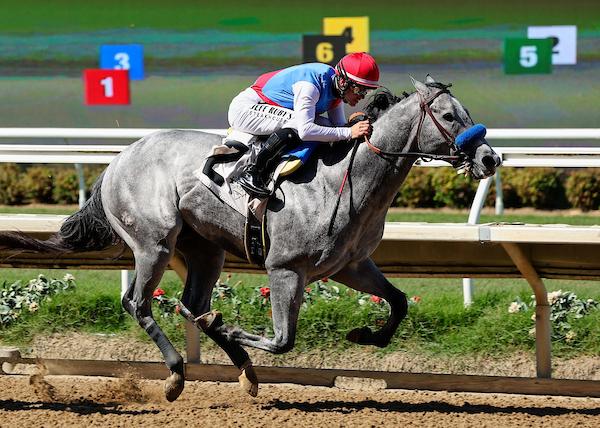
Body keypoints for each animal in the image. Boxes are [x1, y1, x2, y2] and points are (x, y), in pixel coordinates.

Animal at [0, 75, 500, 401]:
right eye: (450, 115)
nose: (490, 158)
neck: (346, 178)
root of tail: (120, 158)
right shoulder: (285, 269)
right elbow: (282, 340)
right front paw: (233, 328)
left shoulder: (350, 266)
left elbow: (397, 302)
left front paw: (364, 335)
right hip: (154, 242)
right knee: (139, 303)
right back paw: (177, 374)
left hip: (205, 248)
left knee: (190, 304)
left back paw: (243, 369)